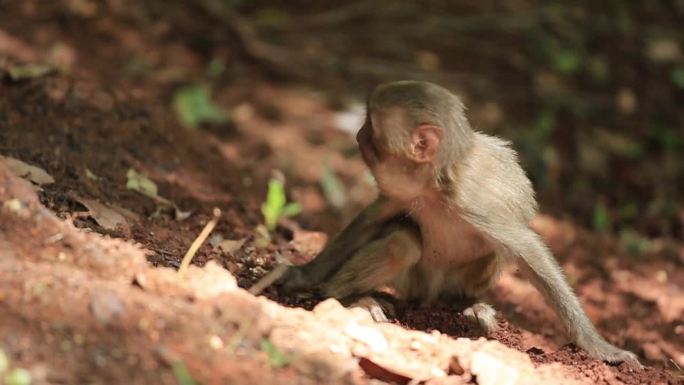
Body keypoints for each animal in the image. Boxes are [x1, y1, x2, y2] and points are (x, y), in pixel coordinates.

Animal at [278, 79, 640, 366]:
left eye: (372, 130)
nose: (357, 135)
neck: (437, 186)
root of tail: (428, 297)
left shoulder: (477, 204)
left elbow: (528, 248)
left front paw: (598, 347)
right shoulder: (404, 192)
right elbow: (373, 218)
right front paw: (305, 275)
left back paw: (462, 306)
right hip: (415, 283)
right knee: (403, 243)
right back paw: (351, 298)